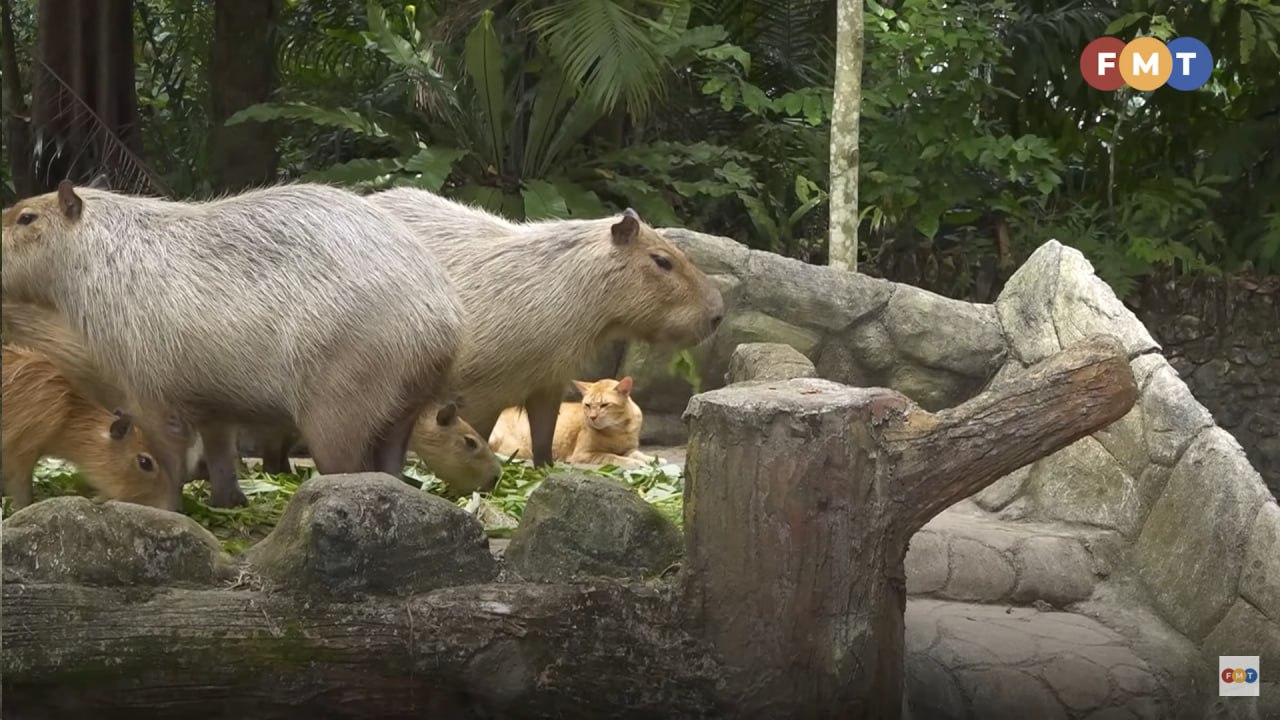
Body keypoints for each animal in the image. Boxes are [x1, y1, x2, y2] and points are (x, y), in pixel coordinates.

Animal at [483, 371, 655, 468]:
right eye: (587, 405)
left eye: (604, 405)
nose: (592, 417)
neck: (619, 429)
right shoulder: (583, 454)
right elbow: (612, 457)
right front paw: (634, 463)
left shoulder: (629, 448)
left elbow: (637, 453)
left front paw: (651, 459)